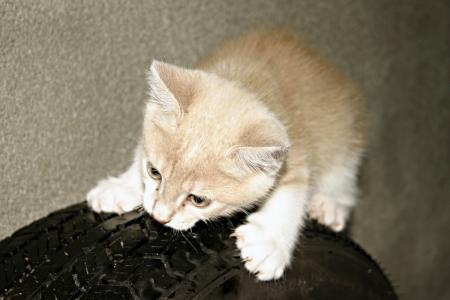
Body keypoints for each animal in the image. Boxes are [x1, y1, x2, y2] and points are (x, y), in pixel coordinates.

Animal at [86, 30, 364, 282]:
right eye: (154, 172)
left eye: (199, 200)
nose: (160, 217)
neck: (249, 83)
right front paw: (121, 187)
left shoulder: (294, 150)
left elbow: (293, 192)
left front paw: (269, 243)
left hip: (345, 134)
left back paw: (330, 204)